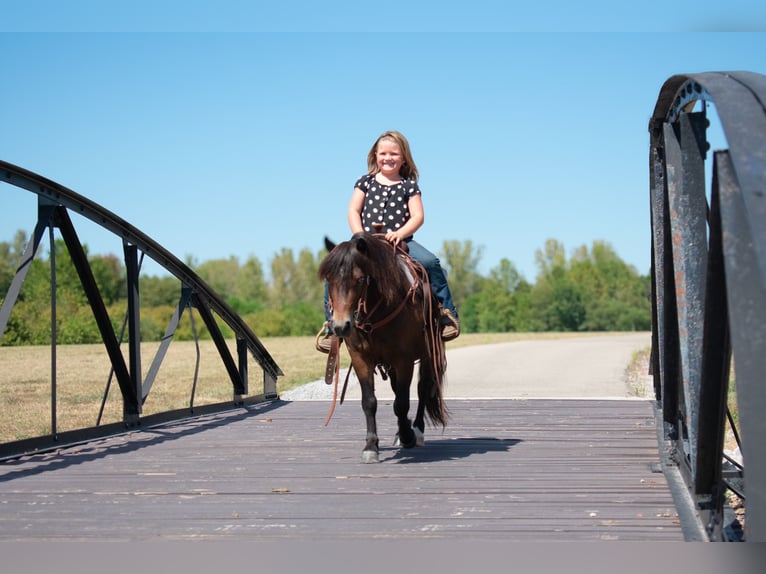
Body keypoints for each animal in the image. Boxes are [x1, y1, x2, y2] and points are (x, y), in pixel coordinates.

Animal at [320, 233, 450, 464]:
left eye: (359, 279)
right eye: (330, 279)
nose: (341, 326)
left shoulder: (403, 360)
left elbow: (402, 403)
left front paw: (407, 436)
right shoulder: (361, 359)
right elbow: (369, 402)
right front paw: (371, 446)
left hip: (428, 355)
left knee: (422, 389)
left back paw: (416, 430)